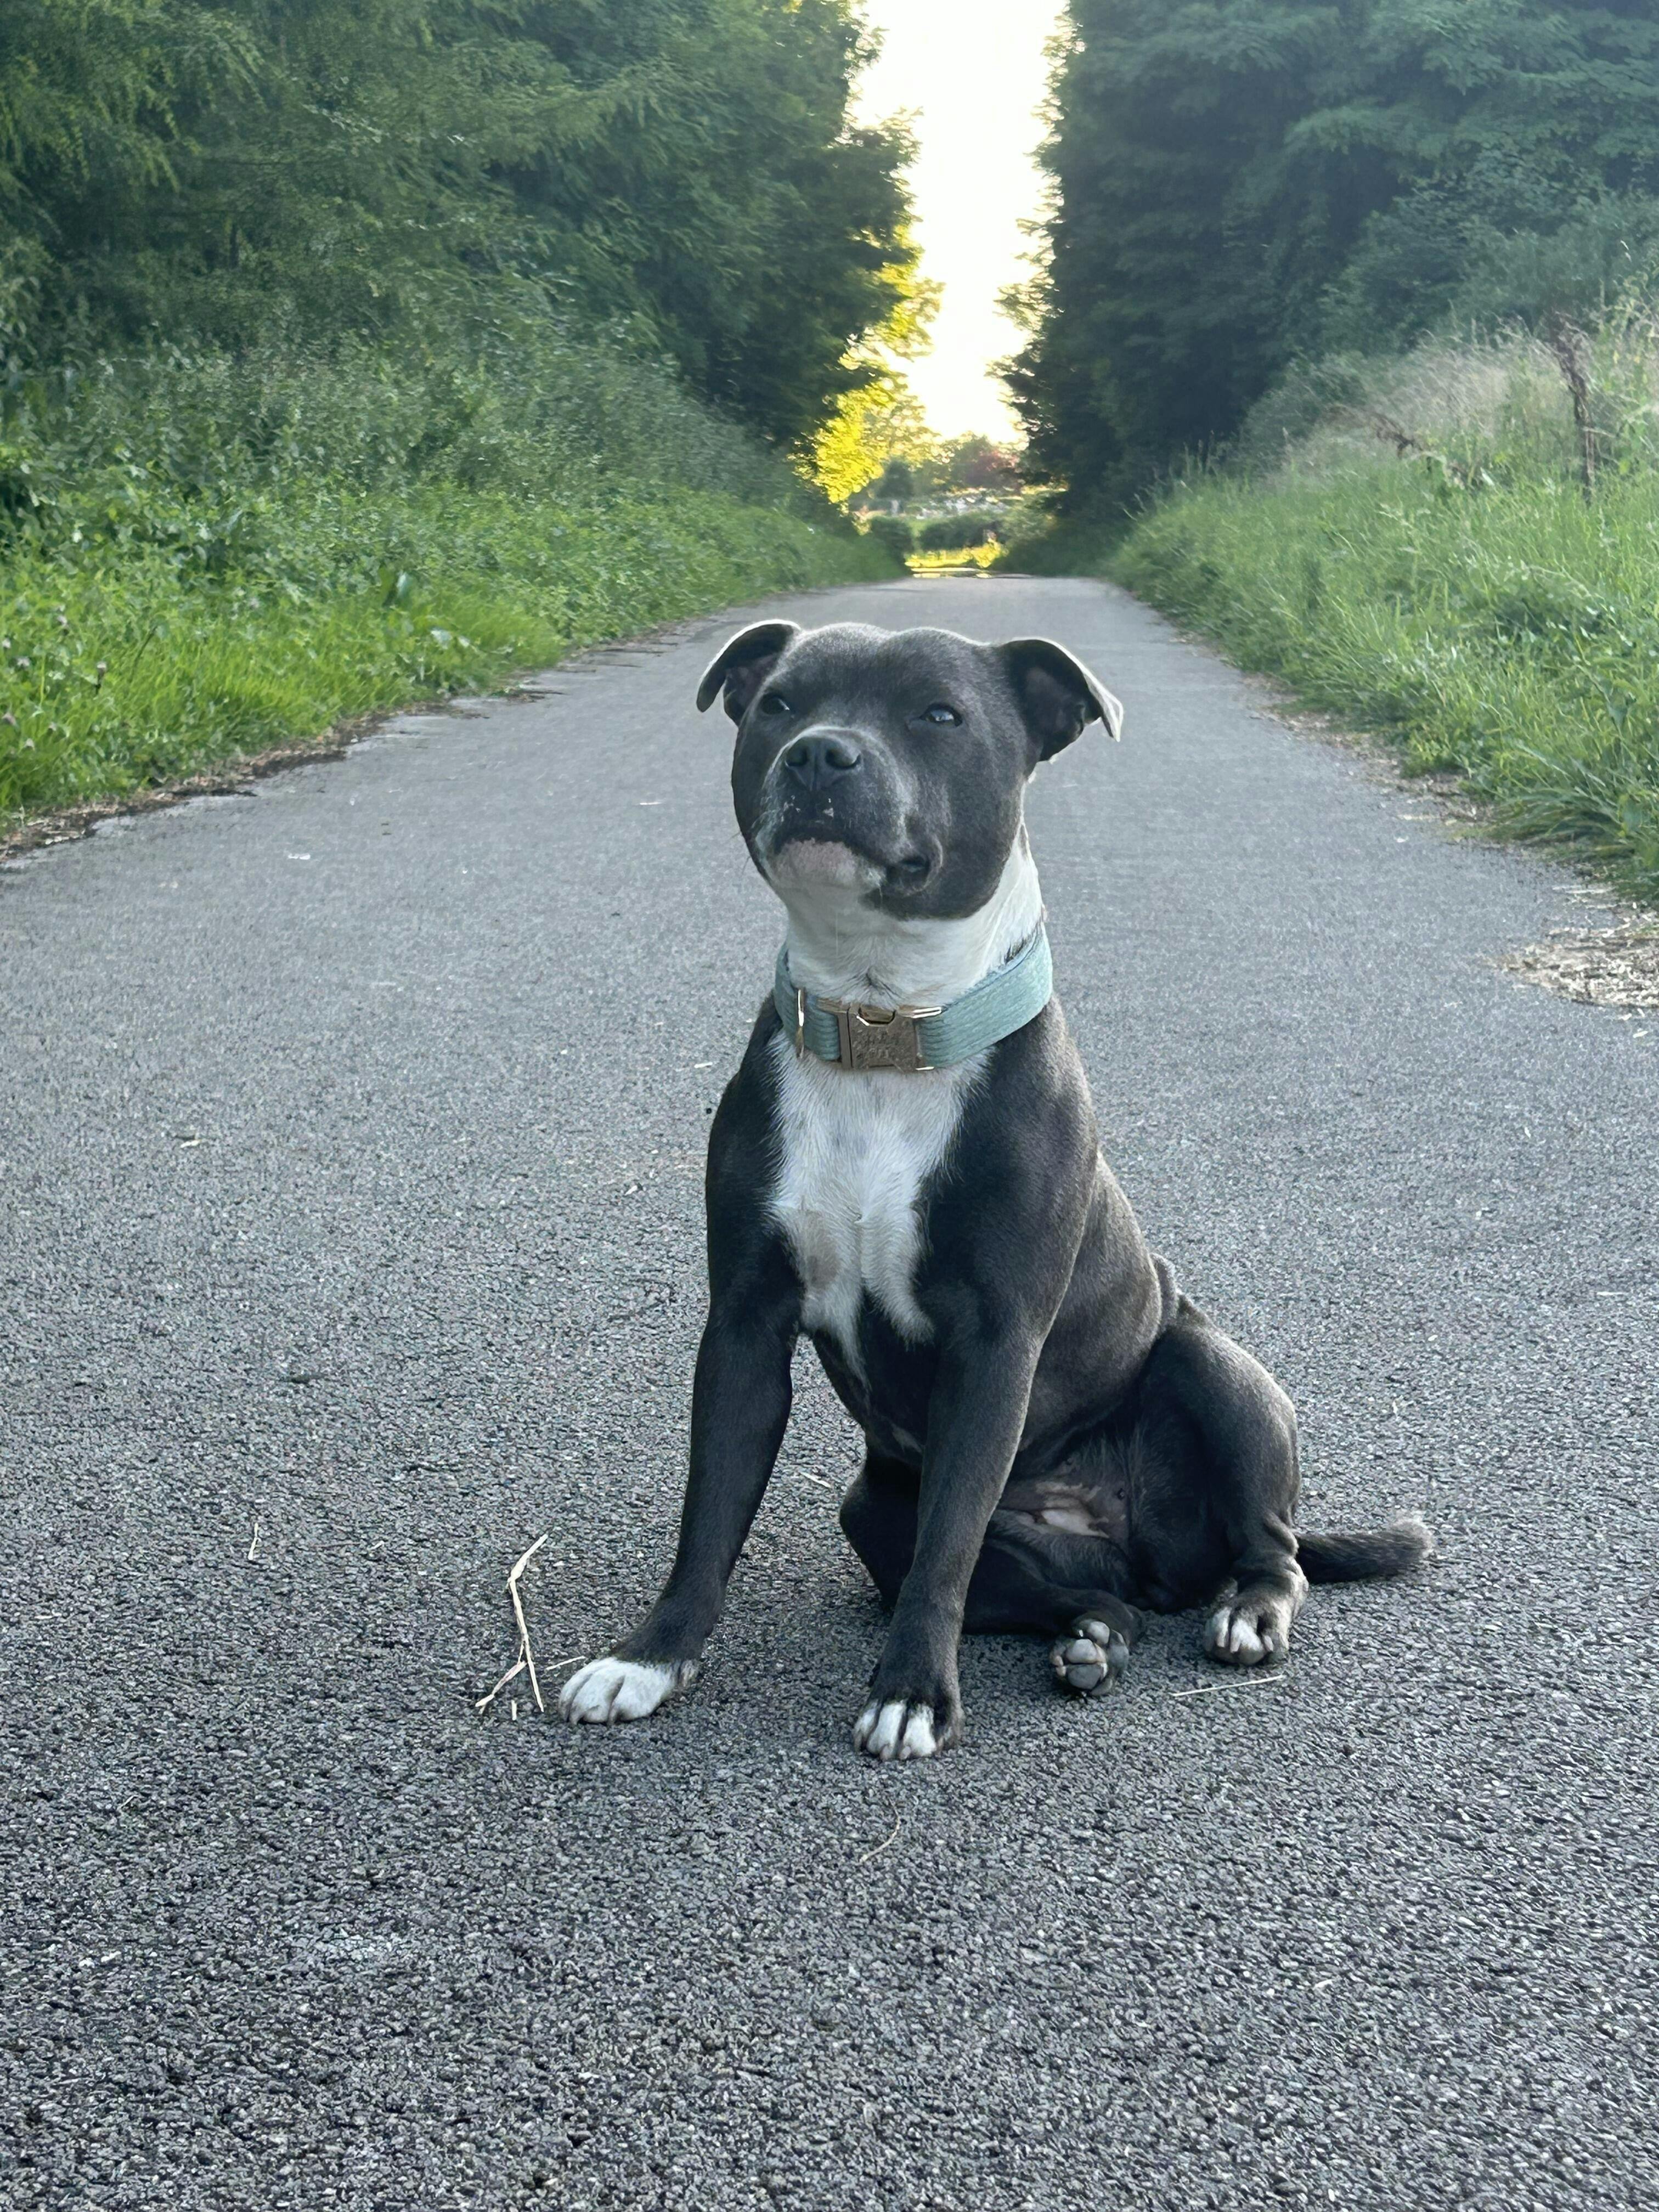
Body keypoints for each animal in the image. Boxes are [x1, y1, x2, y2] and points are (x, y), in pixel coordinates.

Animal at [559, 619, 1430, 1760]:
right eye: (779, 703)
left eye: (939, 714)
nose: (819, 754)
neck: (883, 1026)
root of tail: (1131, 1547)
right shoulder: (743, 1326)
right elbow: (708, 1514)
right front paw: (651, 1659)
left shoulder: (993, 1344)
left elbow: (946, 1544)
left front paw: (911, 1695)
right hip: (872, 1511)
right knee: (1078, 1597)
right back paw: (1088, 1639)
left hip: (1215, 1369)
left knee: (1266, 1545)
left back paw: (1247, 1610)